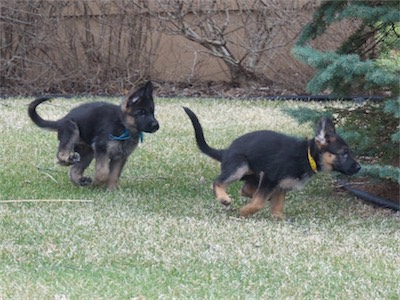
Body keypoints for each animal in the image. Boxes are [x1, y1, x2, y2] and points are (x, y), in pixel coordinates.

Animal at [28, 81, 159, 190]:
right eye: (141, 112)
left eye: (152, 112)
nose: (156, 126)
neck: (123, 125)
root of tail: (61, 120)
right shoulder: (101, 148)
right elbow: (103, 172)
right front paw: (97, 184)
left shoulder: (120, 157)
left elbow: (114, 174)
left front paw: (111, 190)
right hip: (72, 129)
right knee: (60, 155)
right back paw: (69, 160)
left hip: (88, 153)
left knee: (73, 170)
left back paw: (80, 180)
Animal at [183, 108, 360, 218]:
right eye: (344, 153)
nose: (359, 167)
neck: (306, 155)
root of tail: (226, 151)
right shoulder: (271, 178)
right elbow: (258, 204)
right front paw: (244, 212)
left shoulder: (281, 185)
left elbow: (277, 206)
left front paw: (278, 217)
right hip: (240, 166)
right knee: (218, 182)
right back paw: (224, 198)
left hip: (253, 174)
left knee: (245, 189)